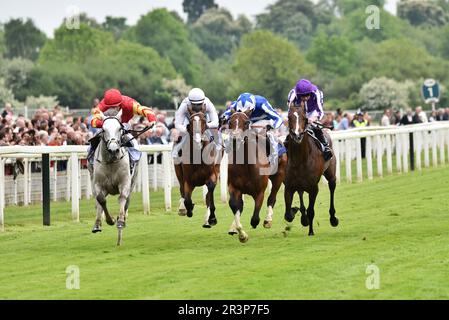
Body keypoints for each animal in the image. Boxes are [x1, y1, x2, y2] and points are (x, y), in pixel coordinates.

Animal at [88, 109, 139, 246]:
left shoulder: (125, 182)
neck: (111, 162)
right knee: (98, 201)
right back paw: (98, 223)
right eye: (103, 129)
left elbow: (122, 198)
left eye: (119, 128)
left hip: (133, 180)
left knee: (127, 201)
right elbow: (101, 200)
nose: (113, 150)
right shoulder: (98, 183)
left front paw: (120, 221)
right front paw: (109, 220)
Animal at [226, 110, 286, 242]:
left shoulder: (259, 191)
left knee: (272, 198)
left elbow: (255, 218)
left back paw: (268, 220)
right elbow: (235, 205)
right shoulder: (234, 187)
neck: (246, 165)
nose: (235, 139)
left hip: (279, 176)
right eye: (230, 122)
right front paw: (241, 233)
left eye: (246, 122)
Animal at [286, 102, 338, 235]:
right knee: (300, 193)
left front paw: (311, 231)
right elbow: (288, 214)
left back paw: (333, 218)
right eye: (289, 117)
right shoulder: (289, 186)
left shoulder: (314, 188)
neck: (300, 160)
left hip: (331, 173)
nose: (297, 135)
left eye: (305, 118)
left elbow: (311, 211)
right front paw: (297, 212)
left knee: (332, 187)